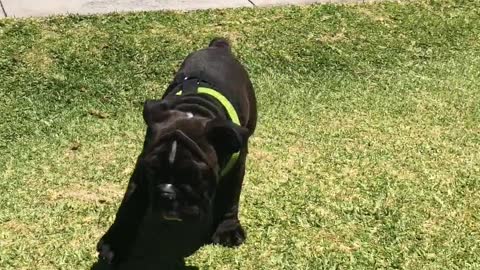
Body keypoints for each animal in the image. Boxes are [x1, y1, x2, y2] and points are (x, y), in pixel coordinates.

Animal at [95, 37, 256, 268]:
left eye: (193, 175)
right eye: (153, 172)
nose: (166, 194)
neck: (193, 112)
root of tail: (218, 47)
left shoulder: (236, 167)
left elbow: (230, 198)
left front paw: (227, 230)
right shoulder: (140, 169)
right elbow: (129, 205)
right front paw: (114, 244)